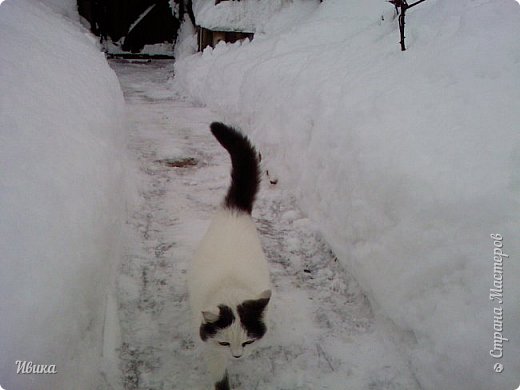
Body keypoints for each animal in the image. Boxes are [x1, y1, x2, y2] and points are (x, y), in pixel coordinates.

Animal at [190, 122, 272, 390]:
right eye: (225, 343)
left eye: (247, 342)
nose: (237, 356)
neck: (230, 286)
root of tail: (234, 208)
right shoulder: (211, 345)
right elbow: (220, 377)